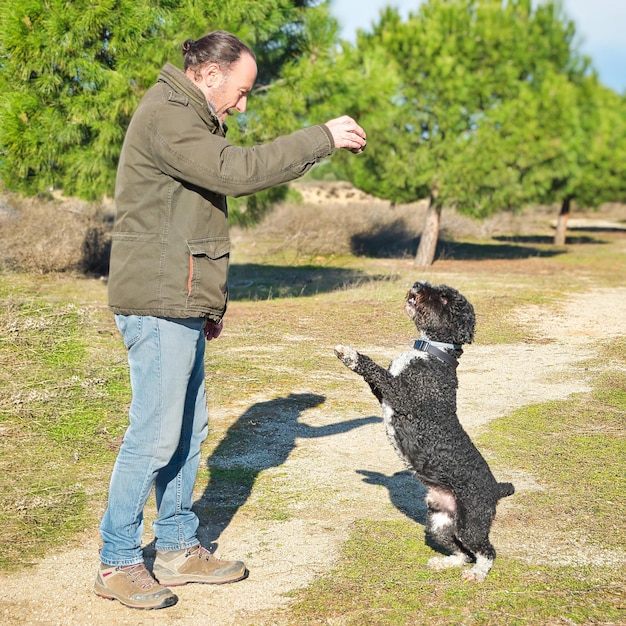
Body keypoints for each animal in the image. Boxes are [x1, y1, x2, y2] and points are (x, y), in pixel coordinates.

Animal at [334, 280, 516, 576]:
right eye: (439, 289)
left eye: (444, 299)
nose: (417, 286)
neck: (433, 353)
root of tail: (495, 489)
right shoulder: (384, 393)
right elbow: (376, 379)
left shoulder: (403, 395)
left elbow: (374, 369)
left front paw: (350, 354)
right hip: (439, 523)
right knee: (462, 552)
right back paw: (446, 562)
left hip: (472, 521)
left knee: (486, 551)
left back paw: (477, 573)